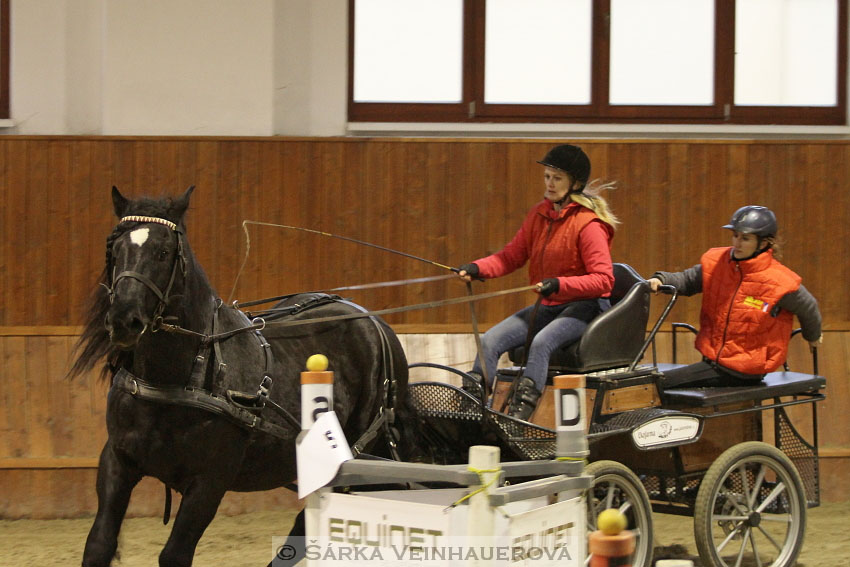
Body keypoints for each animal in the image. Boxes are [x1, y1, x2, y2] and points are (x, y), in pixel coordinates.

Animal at [69, 189, 408, 564]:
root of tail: (372, 320)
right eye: (115, 250)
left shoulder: (209, 482)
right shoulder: (117, 461)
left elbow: (174, 554)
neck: (179, 379)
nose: (123, 320)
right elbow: (99, 544)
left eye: (164, 252)